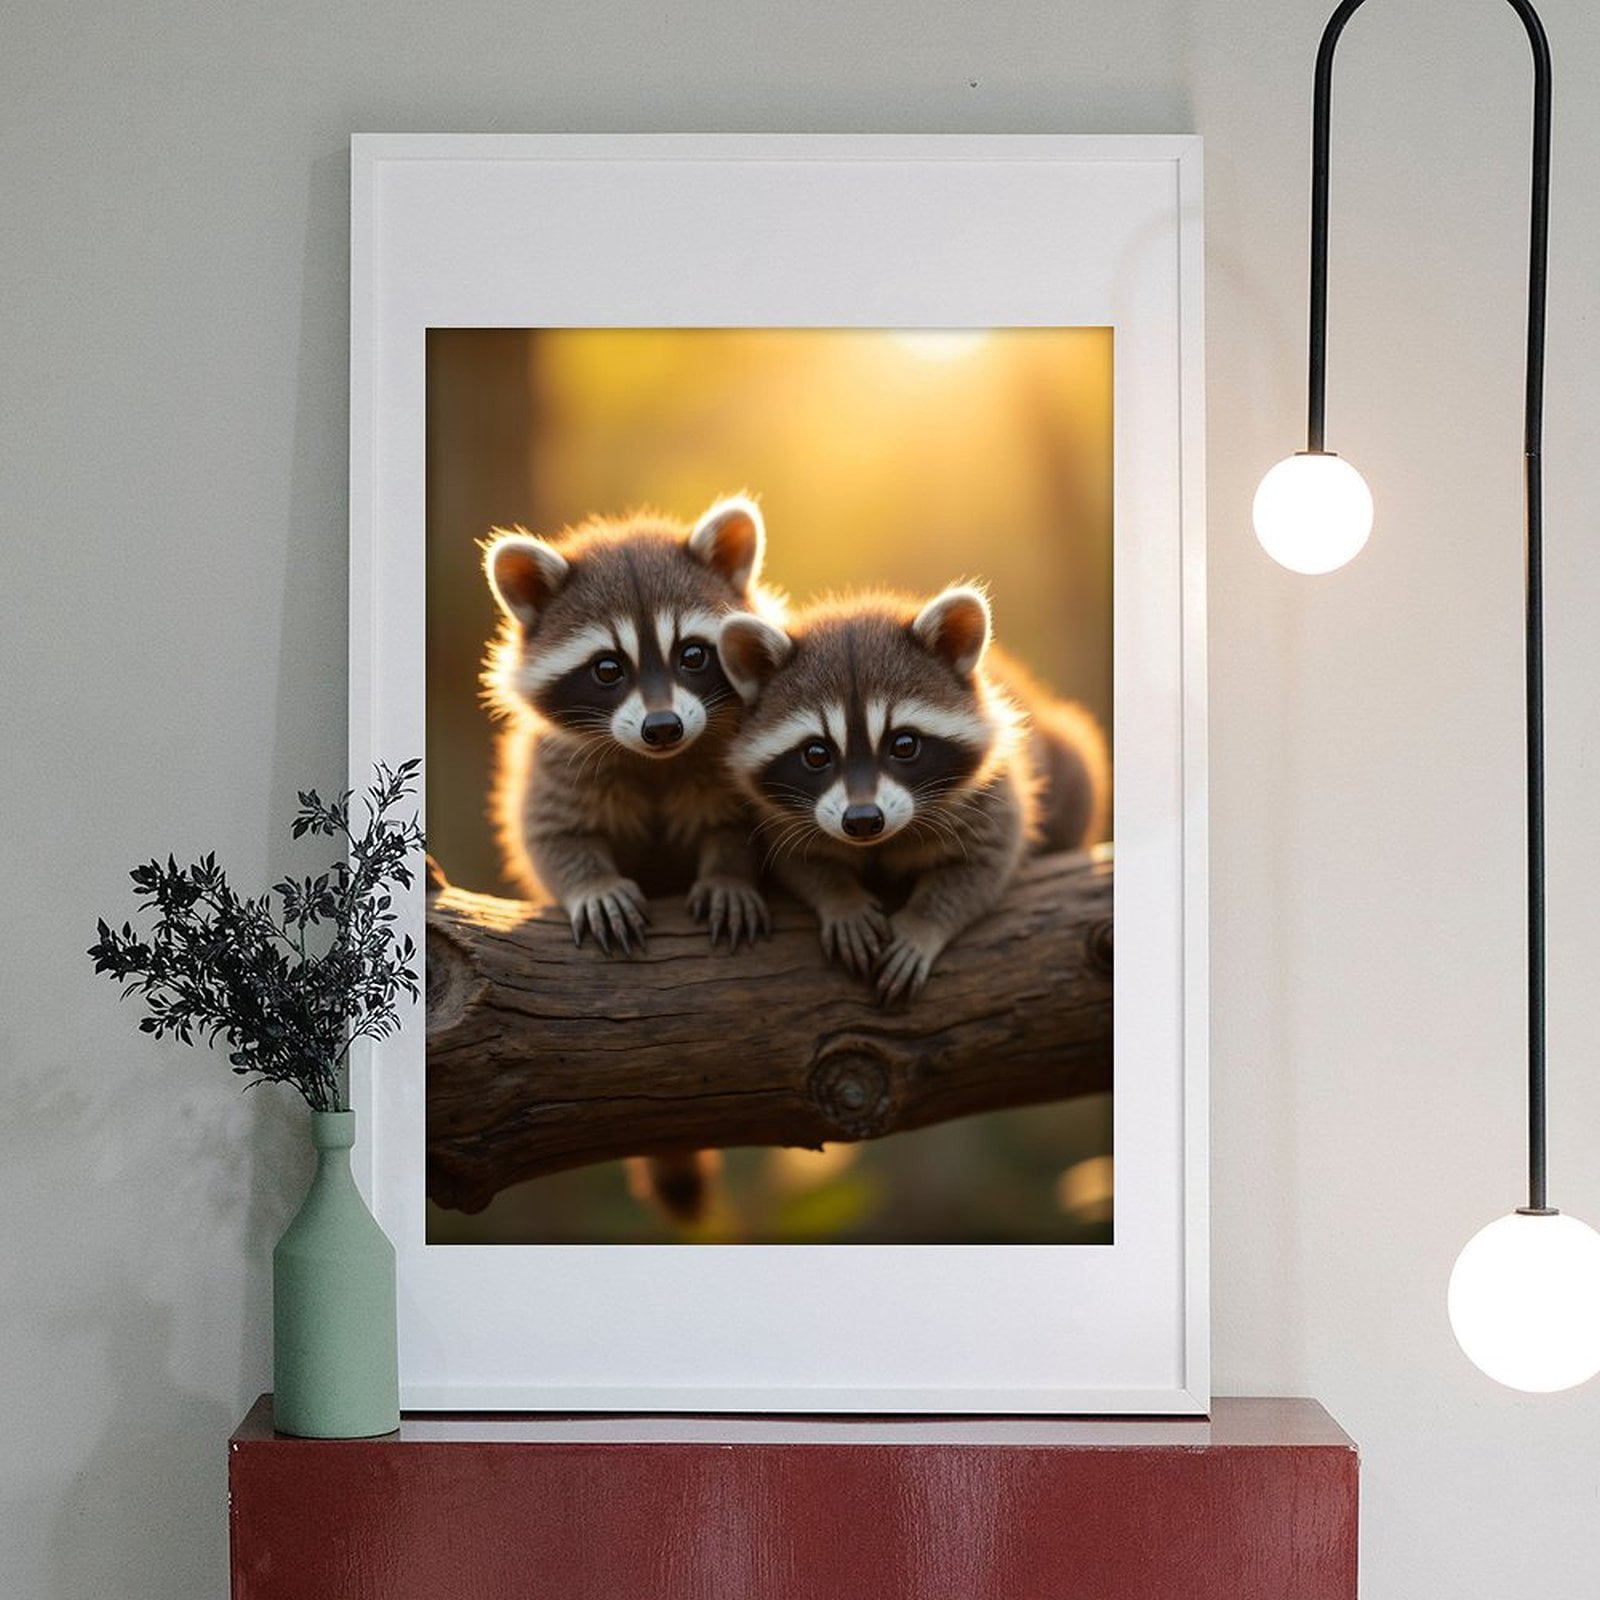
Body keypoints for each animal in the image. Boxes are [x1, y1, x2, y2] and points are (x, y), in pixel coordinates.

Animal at [482, 496, 777, 952]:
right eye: (607, 669)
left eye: (693, 655)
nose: (663, 727)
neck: (654, 760)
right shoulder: (556, 761)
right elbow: (551, 833)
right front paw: (594, 884)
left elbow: (738, 826)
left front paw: (729, 876)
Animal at [719, 586, 1108, 1004]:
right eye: (816, 754)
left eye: (904, 745)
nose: (862, 821)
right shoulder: (779, 813)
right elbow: (800, 859)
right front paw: (841, 899)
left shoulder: (996, 789)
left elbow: (983, 864)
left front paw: (923, 925)